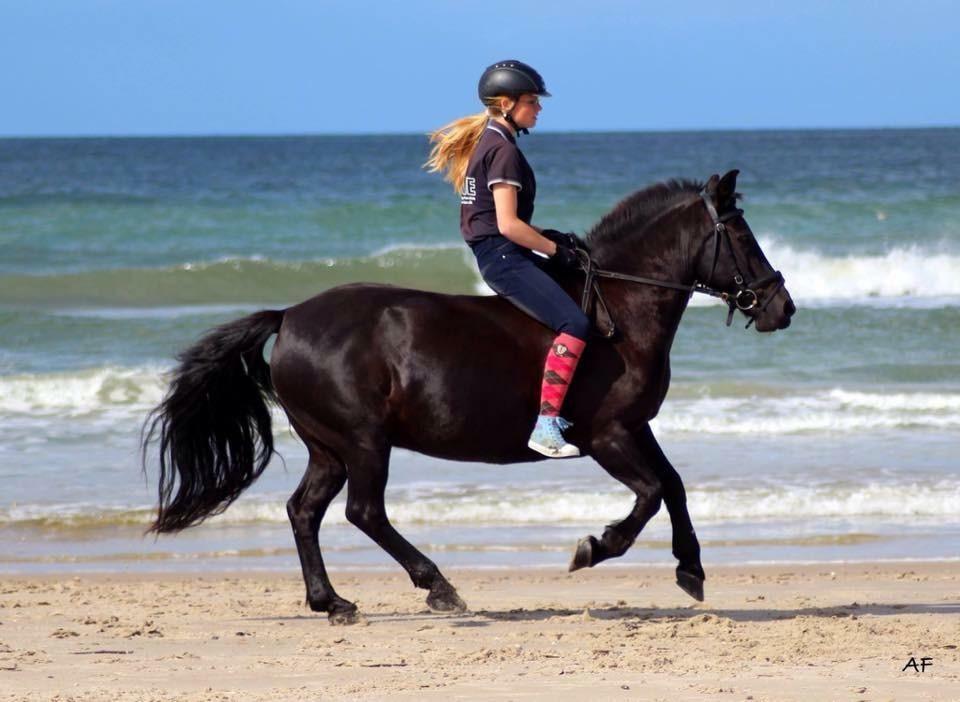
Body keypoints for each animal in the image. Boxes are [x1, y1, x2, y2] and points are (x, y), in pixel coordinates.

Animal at [142, 169, 795, 624]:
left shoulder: (637, 427)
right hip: (363, 441)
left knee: (305, 511)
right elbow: (651, 494)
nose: (782, 308)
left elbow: (675, 486)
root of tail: (290, 317)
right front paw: (591, 548)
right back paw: (437, 587)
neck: (623, 308)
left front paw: (691, 569)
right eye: (741, 234)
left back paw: (334, 602)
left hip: (328, 447)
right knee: (363, 512)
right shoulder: (607, 436)